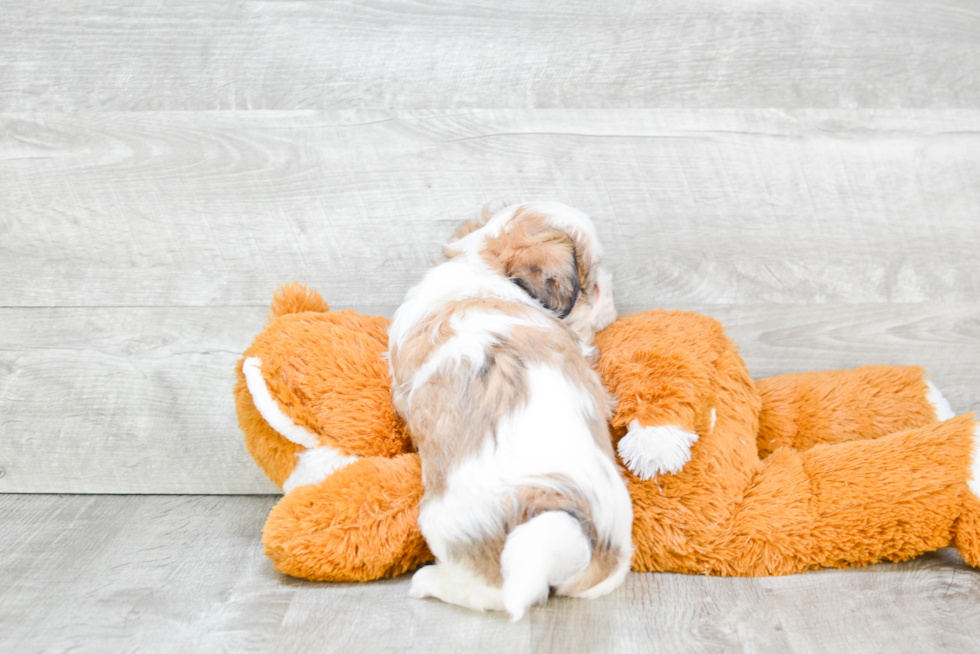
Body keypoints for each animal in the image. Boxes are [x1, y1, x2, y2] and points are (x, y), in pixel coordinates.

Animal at [386, 202, 632, 624]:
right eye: (595, 285)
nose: (612, 300)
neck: (481, 267)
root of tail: (559, 508)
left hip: (446, 526)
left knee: (492, 594)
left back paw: (428, 582)